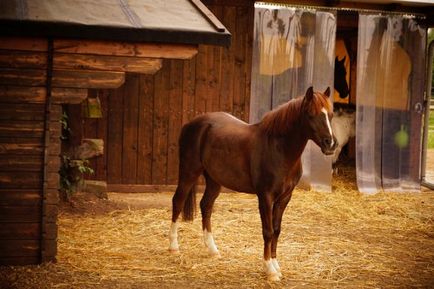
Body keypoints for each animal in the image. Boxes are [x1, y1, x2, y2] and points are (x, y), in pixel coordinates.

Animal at [168, 85, 338, 280]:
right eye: (311, 114)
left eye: (331, 114)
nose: (330, 144)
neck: (279, 148)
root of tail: (191, 124)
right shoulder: (265, 196)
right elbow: (268, 231)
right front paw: (270, 270)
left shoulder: (285, 197)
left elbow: (277, 230)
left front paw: (276, 265)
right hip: (189, 172)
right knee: (178, 201)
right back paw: (173, 247)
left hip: (214, 179)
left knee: (206, 206)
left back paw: (213, 250)